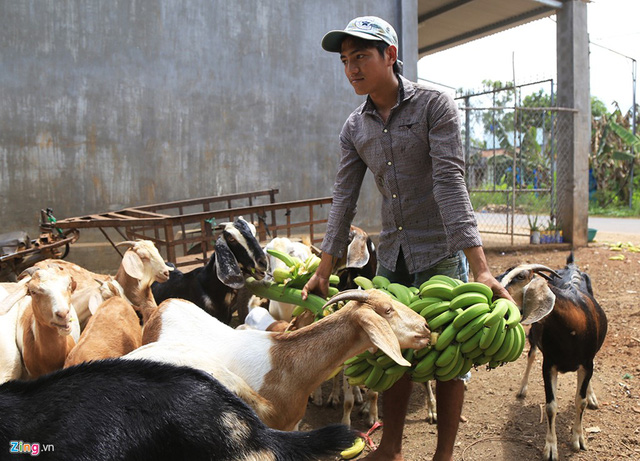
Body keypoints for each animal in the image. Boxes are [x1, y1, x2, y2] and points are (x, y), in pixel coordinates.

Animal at [498, 253, 608, 460]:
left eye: (521, 277)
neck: (571, 327)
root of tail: (571, 265)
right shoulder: (549, 365)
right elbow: (550, 406)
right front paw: (550, 447)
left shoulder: (586, 363)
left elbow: (580, 401)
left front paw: (578, 439)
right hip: (534, 333)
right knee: (531, 354)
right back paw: (522, 389)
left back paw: (591, 396)